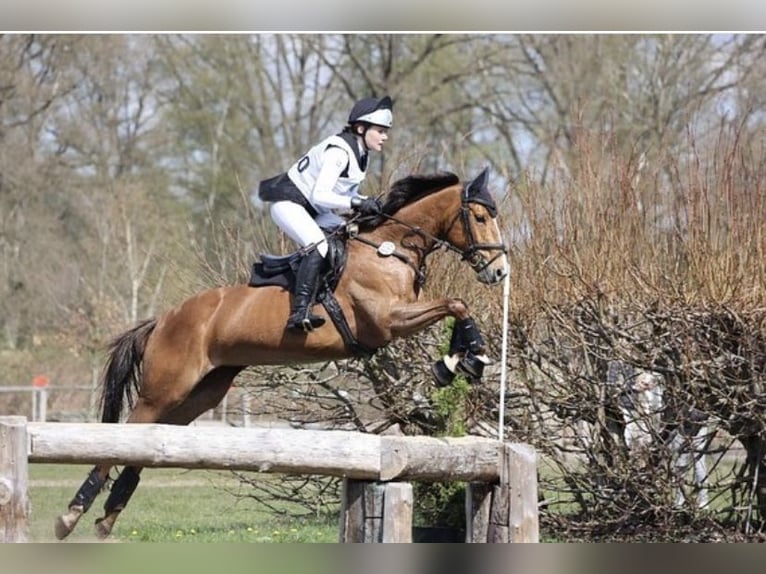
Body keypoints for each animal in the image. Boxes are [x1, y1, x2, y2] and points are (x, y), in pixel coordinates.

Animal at [54, 169, 510, 544]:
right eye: (480, 217)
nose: (500, 271)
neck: (389, 248)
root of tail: (164, 318)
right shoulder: (386, 322)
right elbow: (456, 303)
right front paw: (461, 360)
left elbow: (456, 306)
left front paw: (463, 360)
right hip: (163, 389)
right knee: (124, 438)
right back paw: (71, 515)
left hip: (199, 394)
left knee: (147, 445)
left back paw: (106, 519)